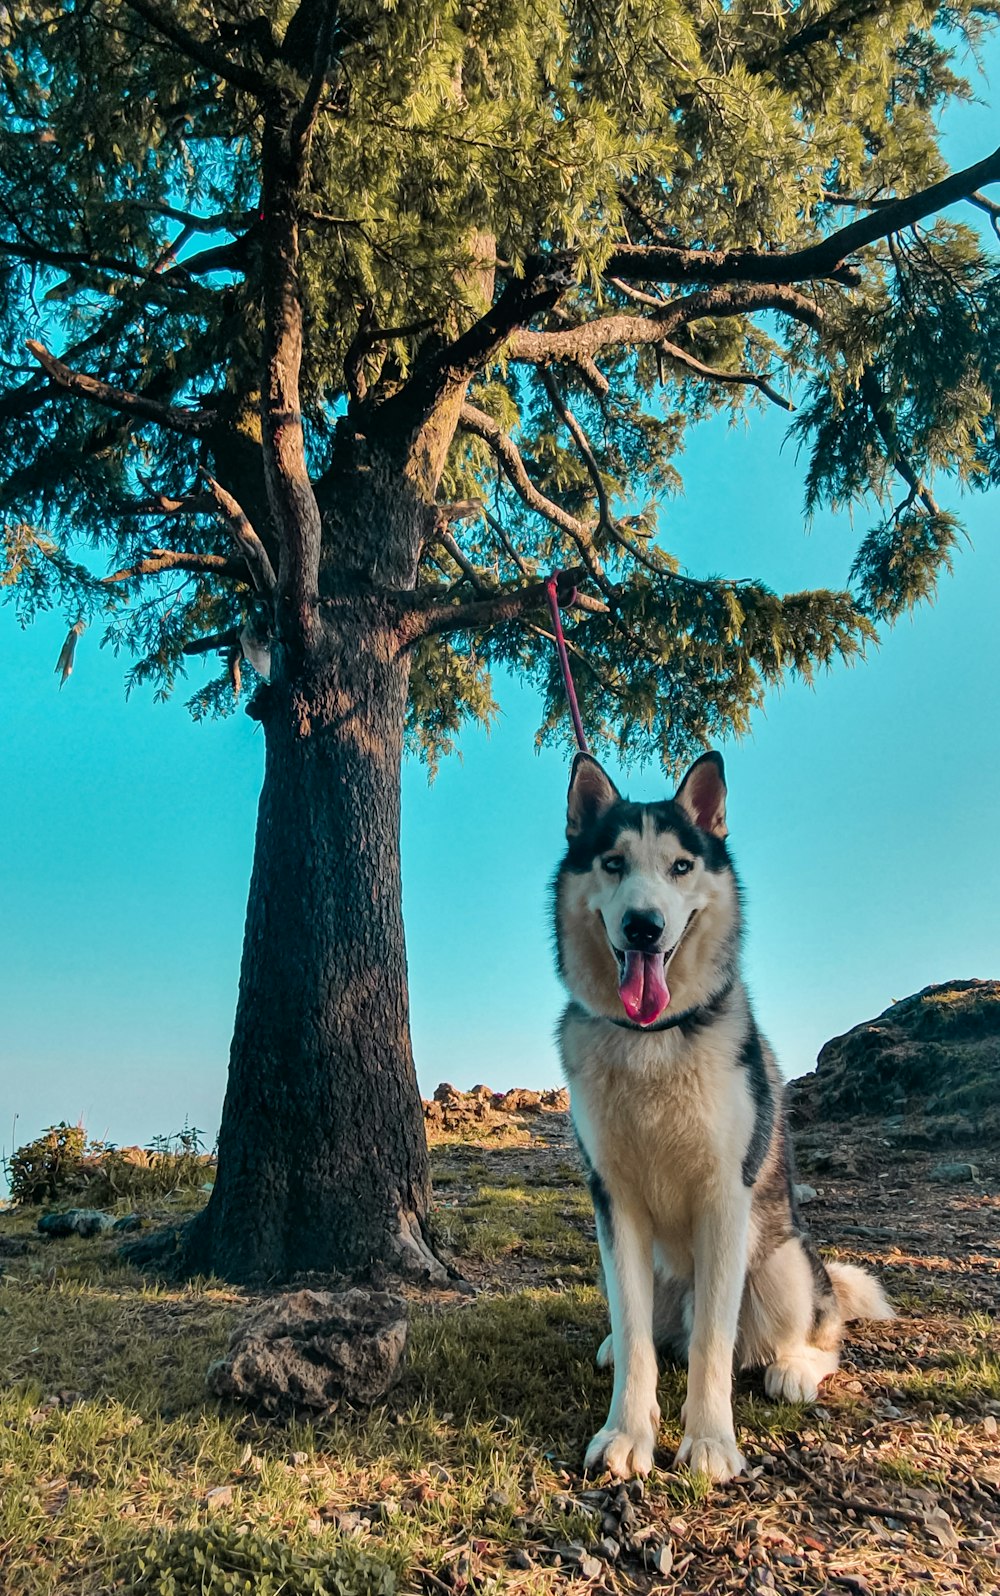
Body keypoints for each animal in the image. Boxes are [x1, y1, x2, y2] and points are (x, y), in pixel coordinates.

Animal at [555, 746, 893, 1481]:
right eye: (613, 862)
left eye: (681, 866)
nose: (644, 926)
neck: (651, 1041)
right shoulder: (613, 1202)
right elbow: (637, 1340)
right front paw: (627, 1431)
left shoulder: (722, 1199)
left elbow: (714, 1341)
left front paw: (710, 1443)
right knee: (652, 1336)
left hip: (782, 1264)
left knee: (815, 1333)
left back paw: (794, 1367)